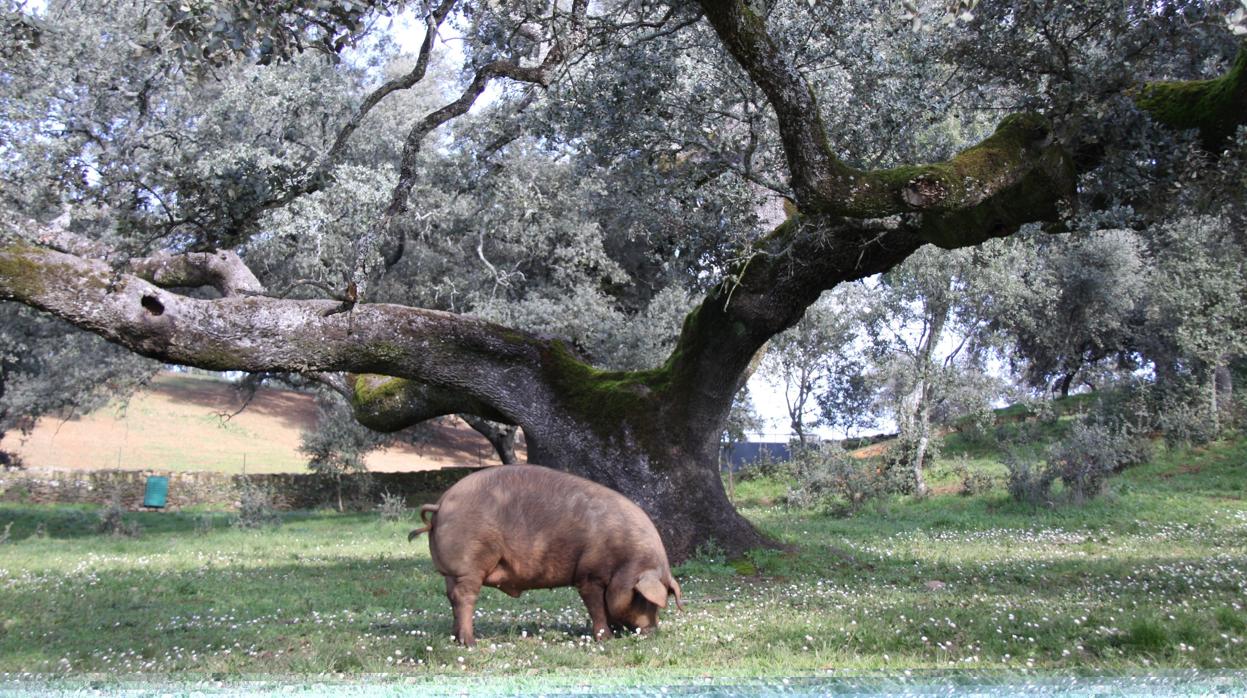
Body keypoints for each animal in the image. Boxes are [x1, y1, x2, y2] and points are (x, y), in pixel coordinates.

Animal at [409, 466, 683, 648]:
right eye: (644, 599)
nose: (652, 631)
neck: (625, 559)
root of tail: (442, 503)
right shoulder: (589, 576)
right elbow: (597, 607)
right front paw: (605, 637)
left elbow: (605, 606)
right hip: (470, 564)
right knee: (464, 598)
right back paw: (470, 642)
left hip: (451, 572)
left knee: (451, 598)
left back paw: (456, 638)